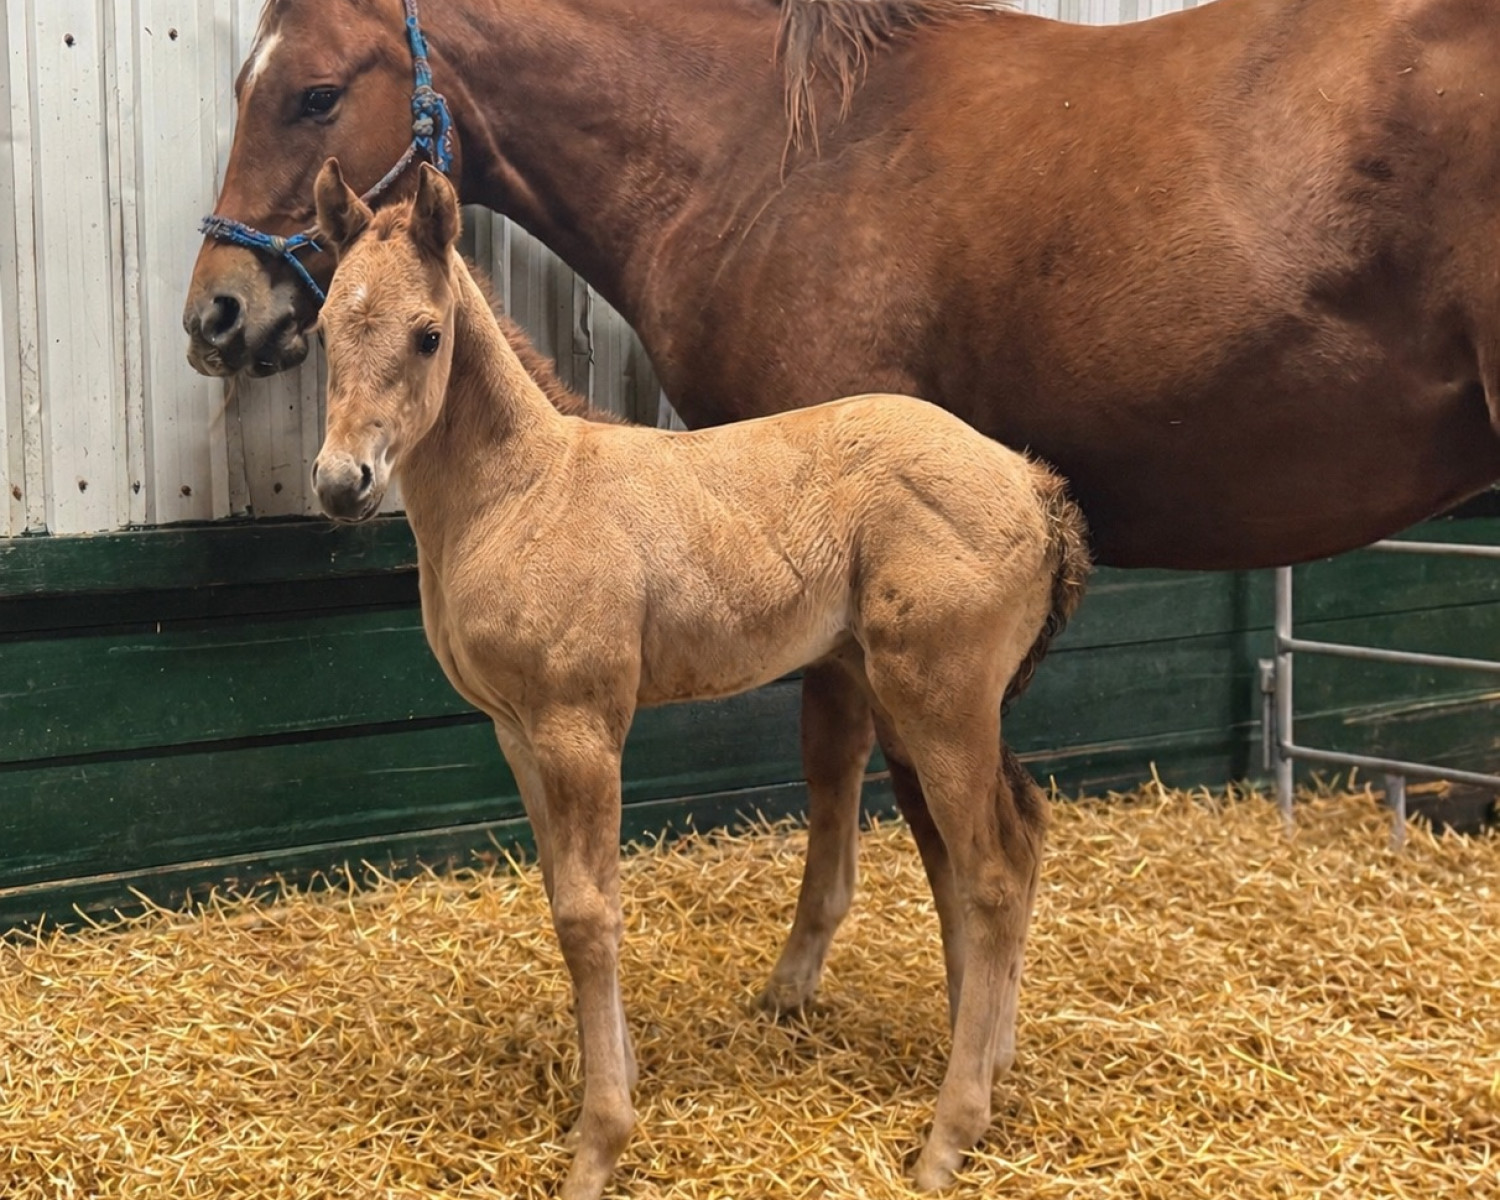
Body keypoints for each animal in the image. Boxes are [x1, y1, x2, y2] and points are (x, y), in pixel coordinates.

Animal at [309, 158, 1090, 1196]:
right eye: (322, 329)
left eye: (427, 333)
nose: (339, 483)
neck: (522, 494)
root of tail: (1034, 487)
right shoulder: (516, 731)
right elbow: (562, 890)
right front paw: (610, 1088)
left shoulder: (581, 725)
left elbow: (589, 914)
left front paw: (600, 1142)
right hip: (927, 704)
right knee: (999, 846)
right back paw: (991, 1065)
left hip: (943, 700)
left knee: (994, 872)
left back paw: (948, 1136)